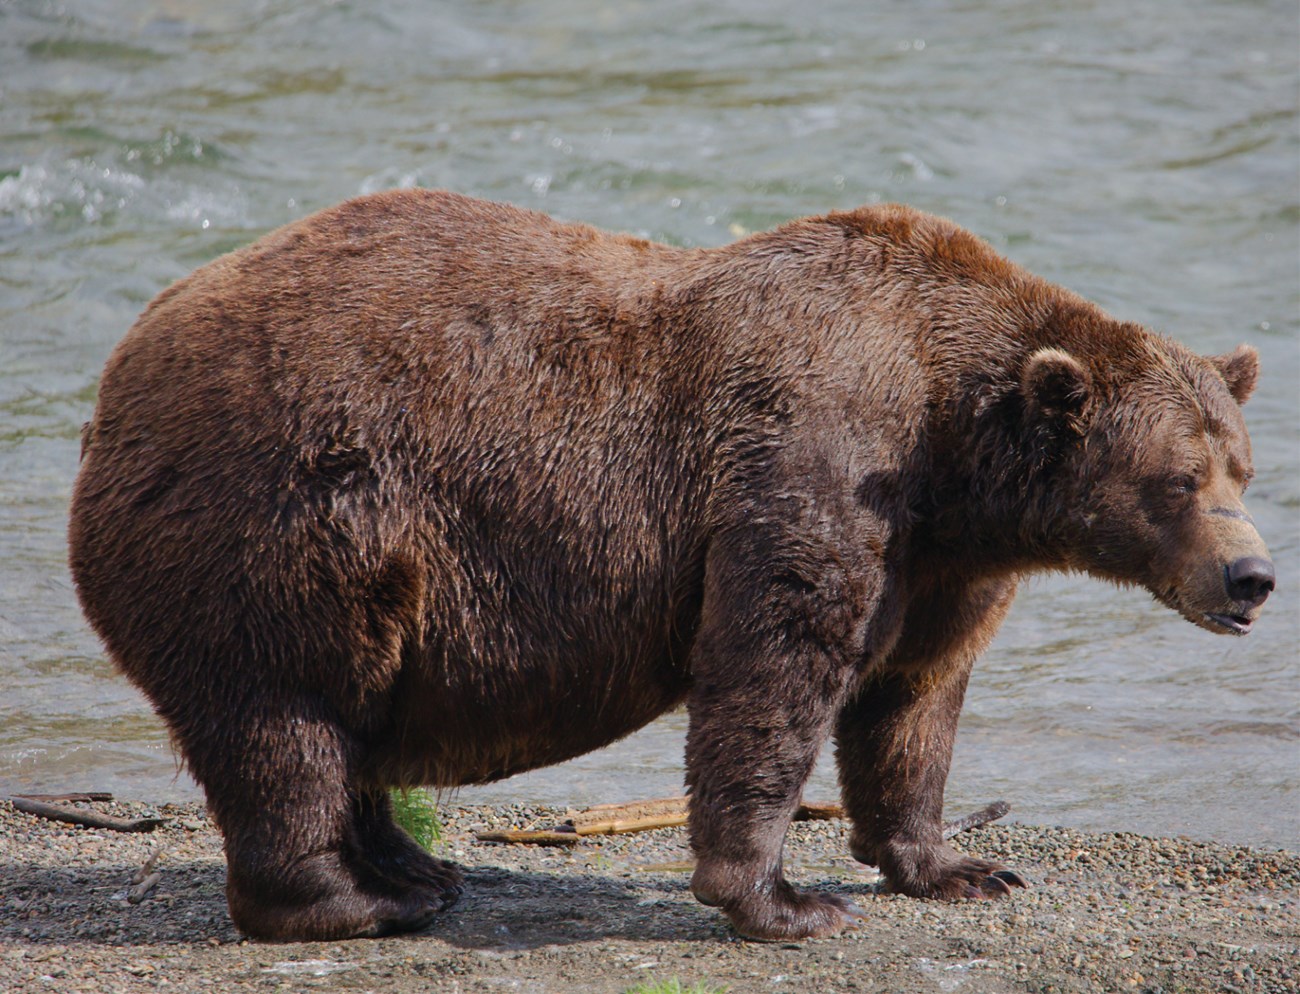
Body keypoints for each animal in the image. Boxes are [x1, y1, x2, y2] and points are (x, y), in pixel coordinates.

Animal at [65, 189, 1274, 940]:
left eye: (1243, 467)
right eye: (1177, 480)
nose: (1252, 578)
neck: (953, 443)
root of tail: (114, 380)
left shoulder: (941, 558)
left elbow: (913, 699)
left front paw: (958, 866)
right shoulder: (813, 462)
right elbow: (774, 666)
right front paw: (783, 900)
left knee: (345, 721)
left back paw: (416, 868)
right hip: (282, 517)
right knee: (287, 718)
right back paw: (355, 900)